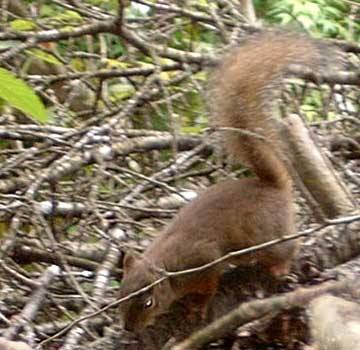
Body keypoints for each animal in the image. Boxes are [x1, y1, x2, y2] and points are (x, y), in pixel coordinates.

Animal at [117, 30, 338, 330]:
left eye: (149, 302)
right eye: (120, 293)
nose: (129, 328)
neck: (169, 266)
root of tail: (274, 186)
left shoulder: (203, 261)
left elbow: (209, 286)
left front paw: (196, 306)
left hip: (265, 234)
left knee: (288, 248)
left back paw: (280, 267)